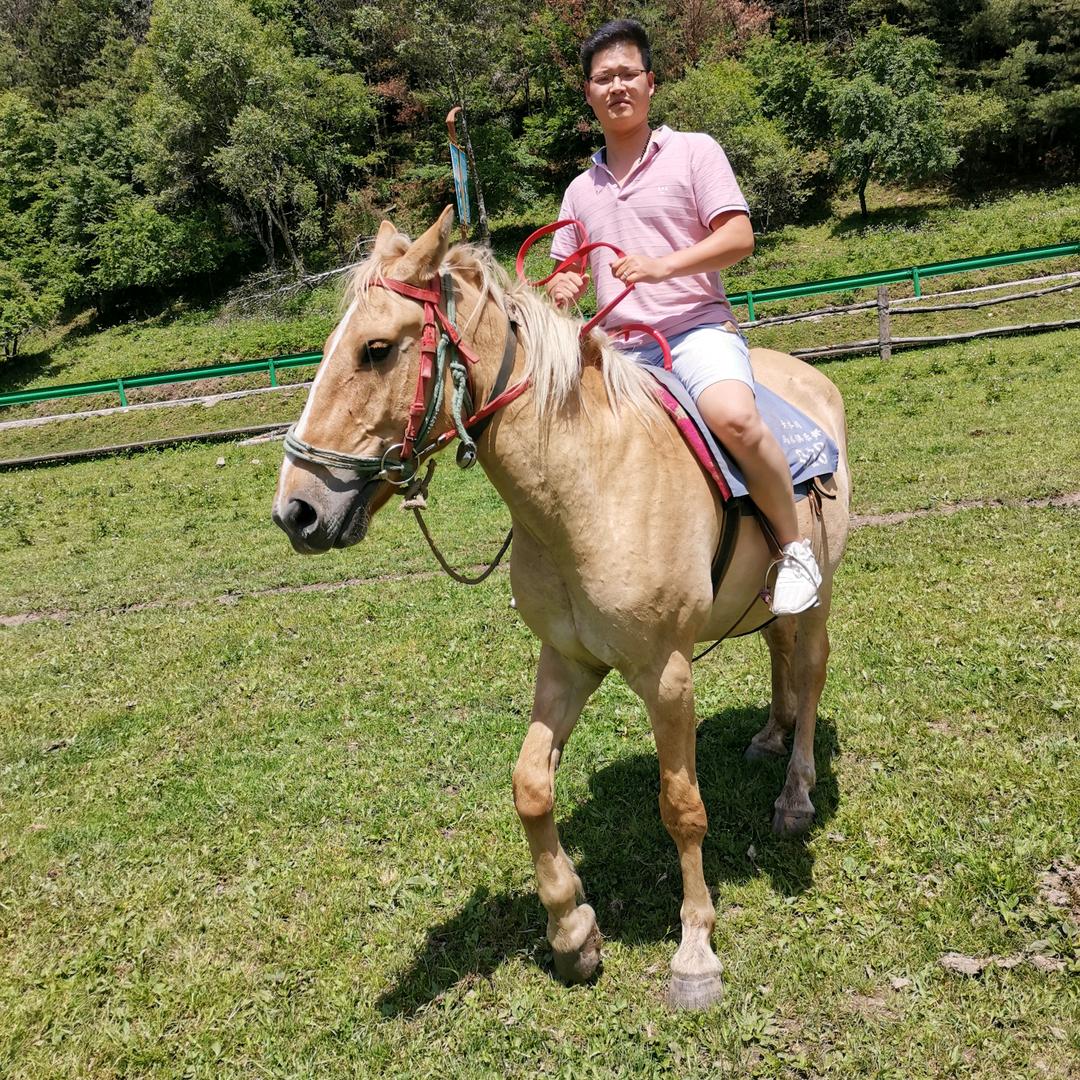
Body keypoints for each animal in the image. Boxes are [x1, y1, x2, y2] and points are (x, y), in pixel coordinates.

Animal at [272, 207, 851, 1010]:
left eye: (376, 349)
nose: (295, 512)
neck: (590, 487)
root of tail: (810, 378)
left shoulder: (665, 673)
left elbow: (682, 807)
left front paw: (695, 952)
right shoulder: (567, 661)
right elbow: (530, 788)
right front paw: (572, 932)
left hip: (816, 593)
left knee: (812, 668)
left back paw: (795, 795)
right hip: (759, 603)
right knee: (779, 652)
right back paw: (770, 735)